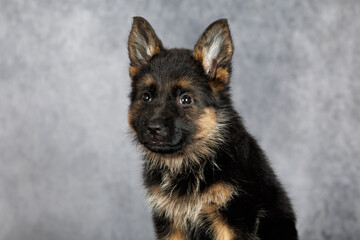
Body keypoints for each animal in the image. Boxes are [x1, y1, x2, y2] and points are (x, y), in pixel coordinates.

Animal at [126, 15, 298, 239]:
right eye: (146, 97)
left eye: (185, 99)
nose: (153, 129)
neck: (189, 161)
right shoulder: (170, 223)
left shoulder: (231, 220)